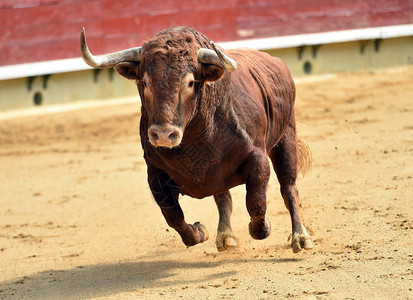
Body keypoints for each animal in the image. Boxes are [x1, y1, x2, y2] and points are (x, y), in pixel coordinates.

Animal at [79, 25, 312, 252]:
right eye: (144, 82)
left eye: (190, 82)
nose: (163, 134)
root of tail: (276, 61)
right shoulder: (155, 173)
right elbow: (173, 216)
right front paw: (200, 231)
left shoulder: (258, 159)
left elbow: (256, 203)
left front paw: (264, 228)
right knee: (223, 197)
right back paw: (225, 236)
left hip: (286, 136)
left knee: (289, 188)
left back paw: (300, 238)